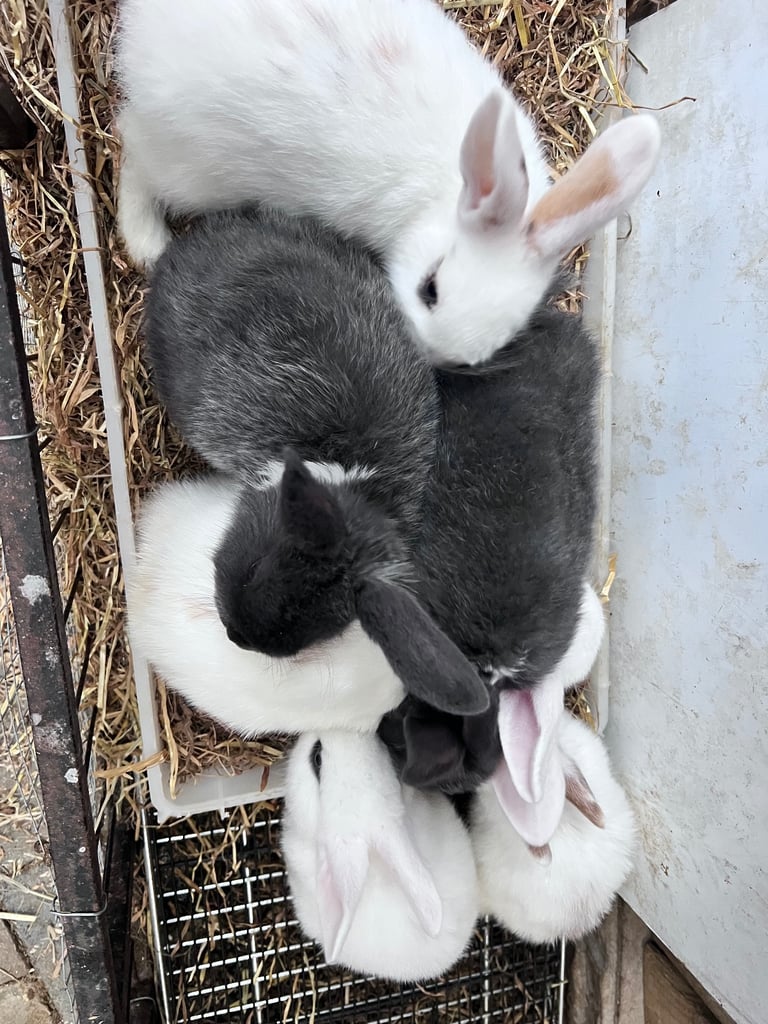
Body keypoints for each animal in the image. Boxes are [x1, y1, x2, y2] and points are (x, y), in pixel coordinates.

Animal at [115, 0, 661, 365]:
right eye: (429, 288)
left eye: (493, 346)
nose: (425, 351)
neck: (446, 194)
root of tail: (140, 32)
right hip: (190, 169)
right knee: (131, 149)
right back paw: (148, 242)